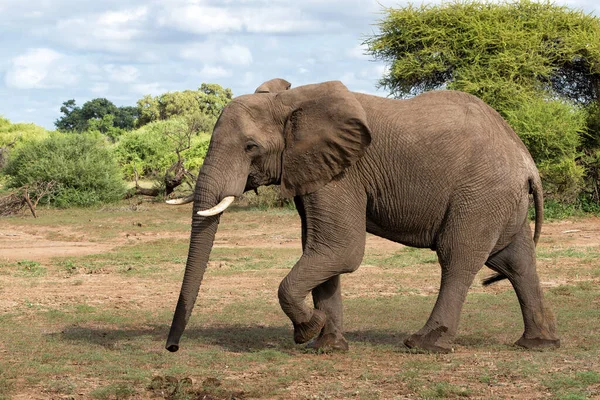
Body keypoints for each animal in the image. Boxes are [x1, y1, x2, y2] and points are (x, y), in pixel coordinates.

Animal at [163, 78, 556, 354]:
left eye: (250, 147)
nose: (172, 347)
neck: (291, 103)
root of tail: (527, 162)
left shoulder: (344, 174)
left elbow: (340, 250)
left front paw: (307, 330)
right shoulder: (316, 171)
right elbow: (319, 249)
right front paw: (327, 347)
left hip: (480, 195)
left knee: (457, 258)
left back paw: (424, 346)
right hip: (500, 200)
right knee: (516, 262)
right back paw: (537, 344)